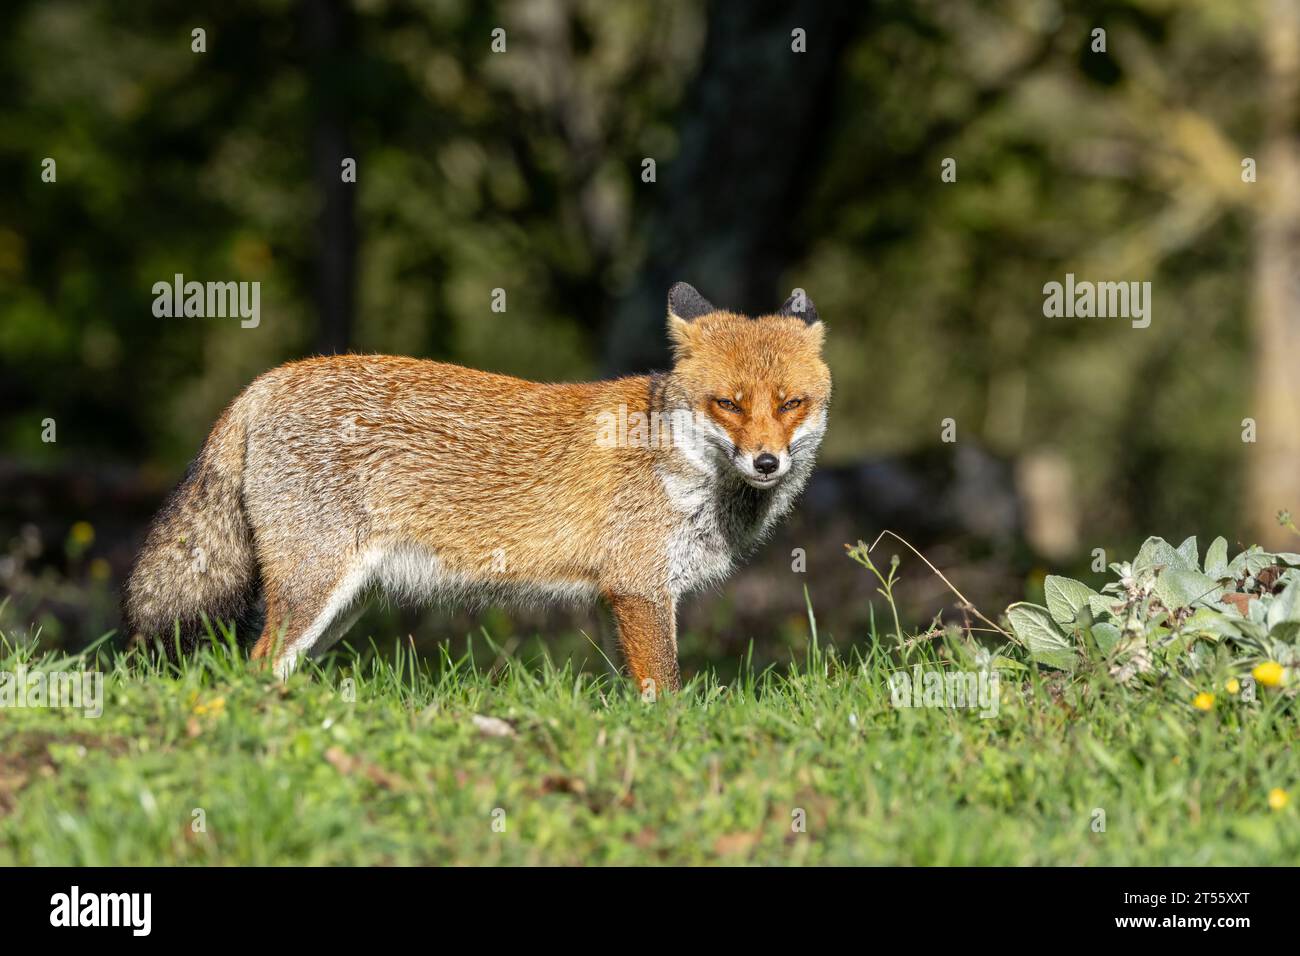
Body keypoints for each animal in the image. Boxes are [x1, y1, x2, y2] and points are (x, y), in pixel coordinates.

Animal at [123, 282, 831, 691]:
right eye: (728, 405)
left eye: (790, 403)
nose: (766, 462)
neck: (677, 462)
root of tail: (265, 381)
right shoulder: (638, 588)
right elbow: (666, 692)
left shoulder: (629, 597)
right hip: (313, 588)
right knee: (255, 666)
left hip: (342, 602)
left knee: (273, 671)